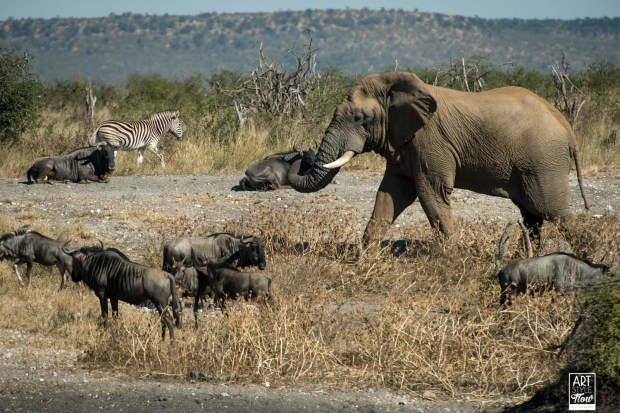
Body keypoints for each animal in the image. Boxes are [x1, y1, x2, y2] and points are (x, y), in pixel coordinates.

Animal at [286, 71, 589, 246]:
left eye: (360, 119)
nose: (299, 154)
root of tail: (567, 128)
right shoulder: (403, 143)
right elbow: (389, 194)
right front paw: (362, 260)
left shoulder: (431, 142)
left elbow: (430, 193)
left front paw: (450, 260)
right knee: (532, 216)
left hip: (544, 161)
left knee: (553, 211)